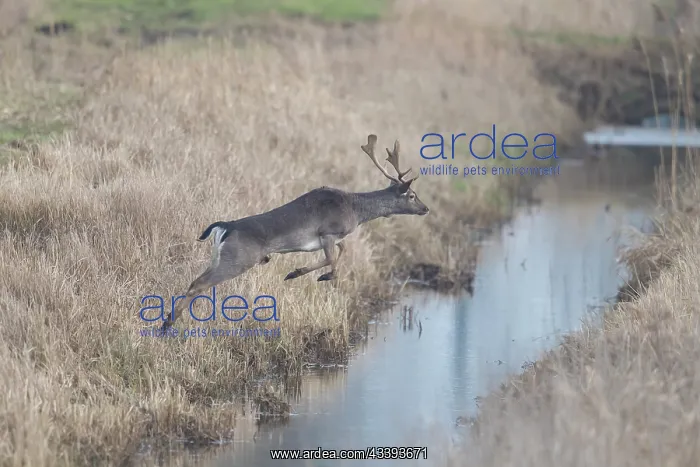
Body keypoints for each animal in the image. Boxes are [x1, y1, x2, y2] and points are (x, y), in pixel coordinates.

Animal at [159, 134, 429, 330]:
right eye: (412, 195)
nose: (426, 208)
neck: (355, 210)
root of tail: (226, 226)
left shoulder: (333, 238)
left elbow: (341, 250)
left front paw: (301, 273)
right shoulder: (328, 231)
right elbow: (332, 260)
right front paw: (305, 274)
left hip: (219, 257)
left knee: (197, 280)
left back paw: (169, 321)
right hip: (238, 259)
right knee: (199, 283)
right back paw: (167, 323)